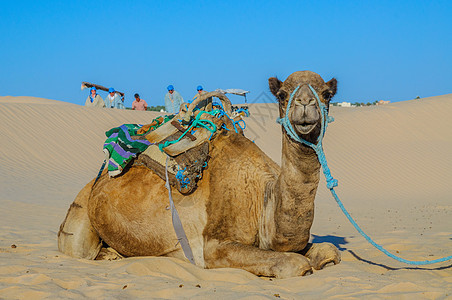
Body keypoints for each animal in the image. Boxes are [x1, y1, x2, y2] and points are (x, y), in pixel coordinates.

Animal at [60, 71, 340, 278]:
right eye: (282, 95)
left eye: (326, 94)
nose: (305, 105)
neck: (263, 200)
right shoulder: (213, 247)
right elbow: (295, 264)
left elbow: (329, 251)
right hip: (80, 213)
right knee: (78, 248)